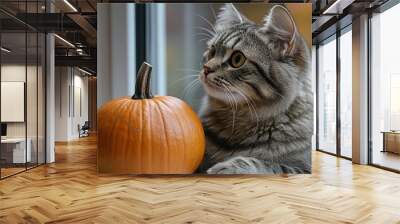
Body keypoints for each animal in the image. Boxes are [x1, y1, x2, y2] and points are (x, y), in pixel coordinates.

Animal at [197, 3, 312, 175]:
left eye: (237, 59)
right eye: (212, 52)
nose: (206, 69)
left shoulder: (303, 168)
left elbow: (266, 164)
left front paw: (225, 167)